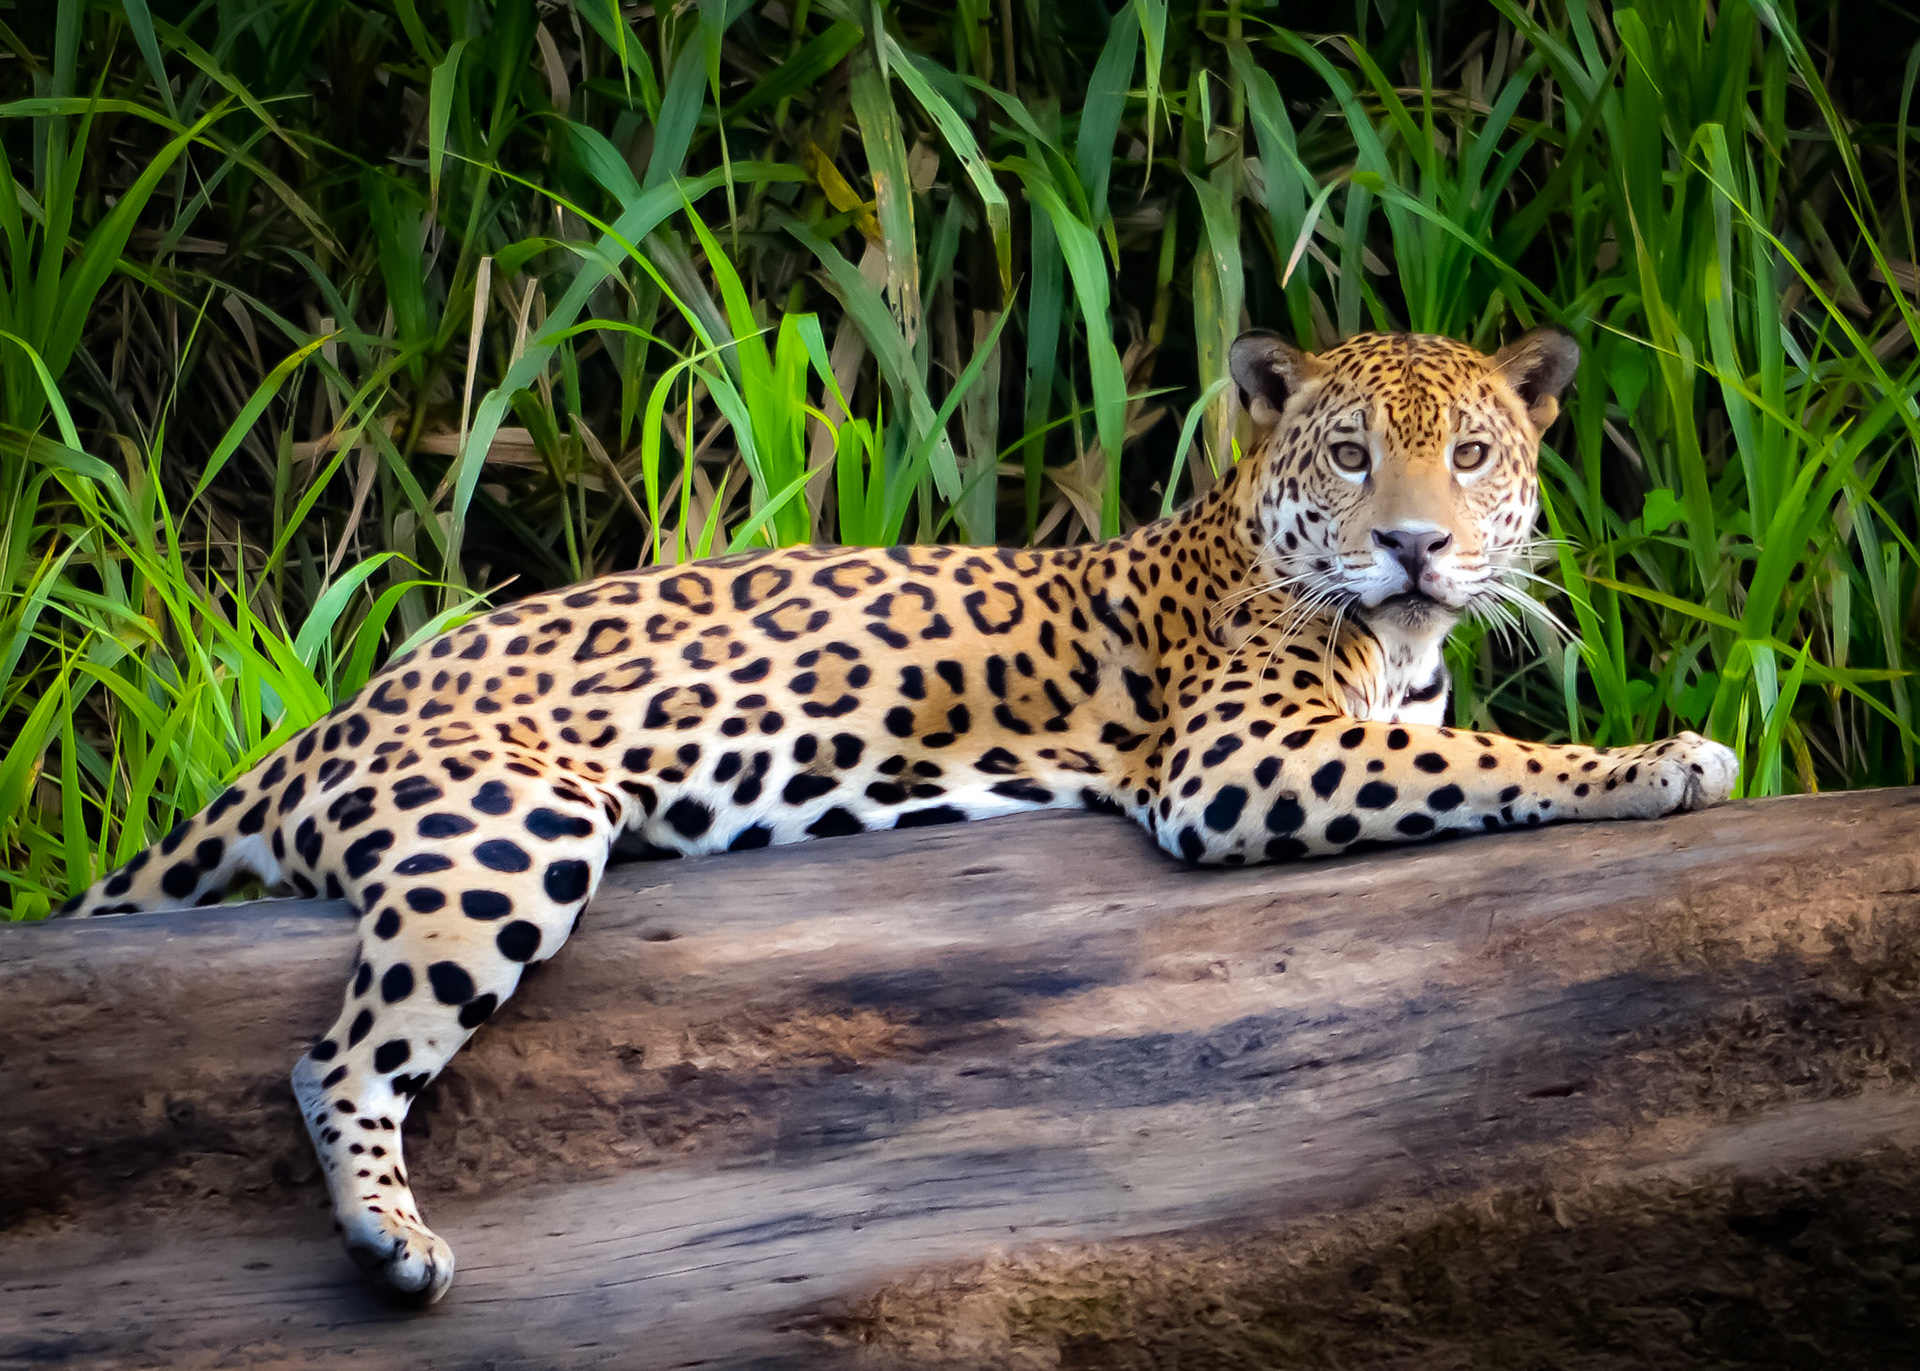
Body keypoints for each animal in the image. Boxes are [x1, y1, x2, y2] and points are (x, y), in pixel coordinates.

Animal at [57, 325, 1737, 1305]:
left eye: (1471, 454)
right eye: (1349, 454)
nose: (1413, 544)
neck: (1390, 640)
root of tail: (342, 708)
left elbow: (1464, 743)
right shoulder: (1242, 756)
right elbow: (1498, 761)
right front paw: (1662, 757)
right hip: (511, 820)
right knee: (336, 1052)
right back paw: (392, 1241)